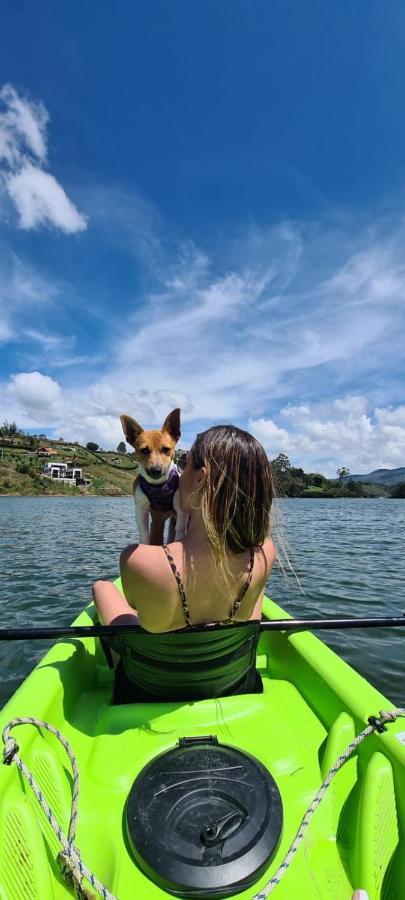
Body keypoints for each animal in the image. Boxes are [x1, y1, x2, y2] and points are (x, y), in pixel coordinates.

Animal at [120, 410, 188, 548]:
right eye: (144, 450)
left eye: (166, 449)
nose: (156, 470)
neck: (158, 486)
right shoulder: (141, 509)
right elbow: (144, 532)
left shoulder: (180, 510)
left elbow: (179, 530)